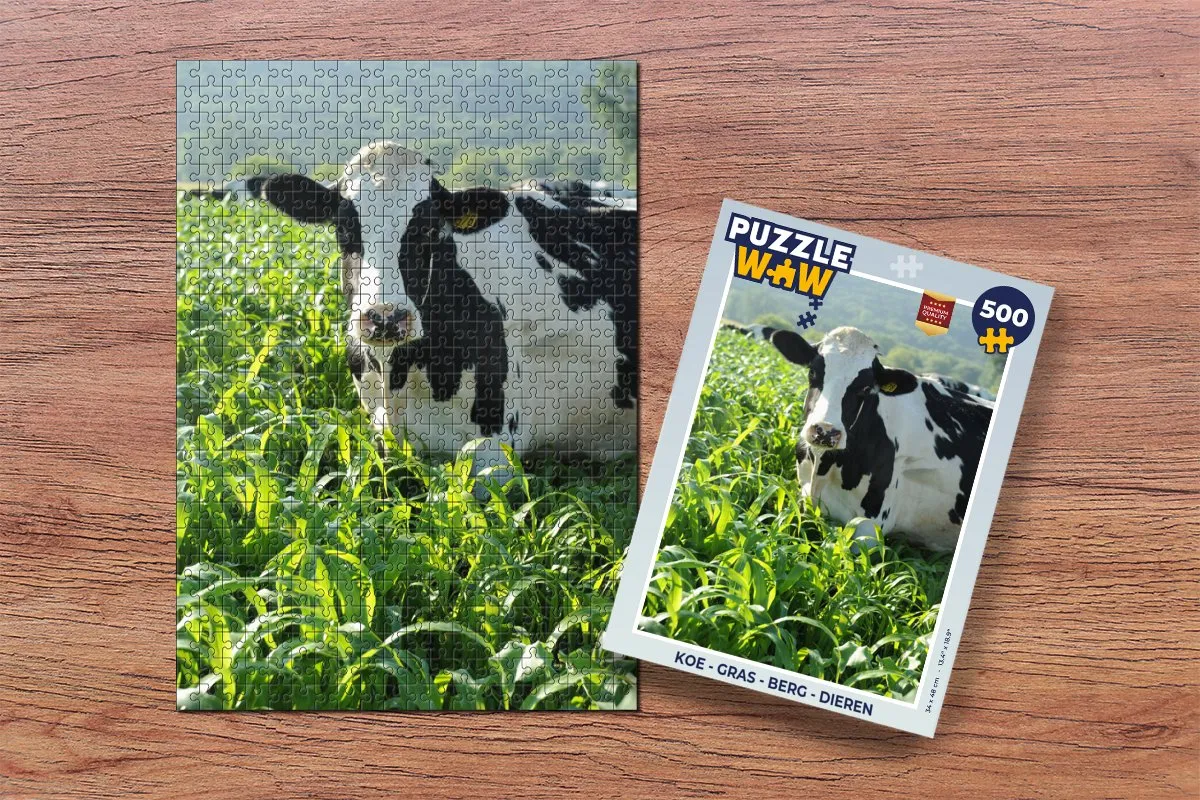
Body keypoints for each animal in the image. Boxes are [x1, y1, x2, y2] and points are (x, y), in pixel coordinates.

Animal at [254, 141, 637, 482]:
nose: (385, 317)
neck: (400, 378)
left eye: (430, 229)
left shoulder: (495, 449)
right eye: (344, 226)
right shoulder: (381, 433)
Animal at [761, 325, 993, 552]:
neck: (823, 466)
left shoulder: (871, 525)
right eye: (813, 372)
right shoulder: (804, 499)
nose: (825, 431)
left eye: (865, 388)